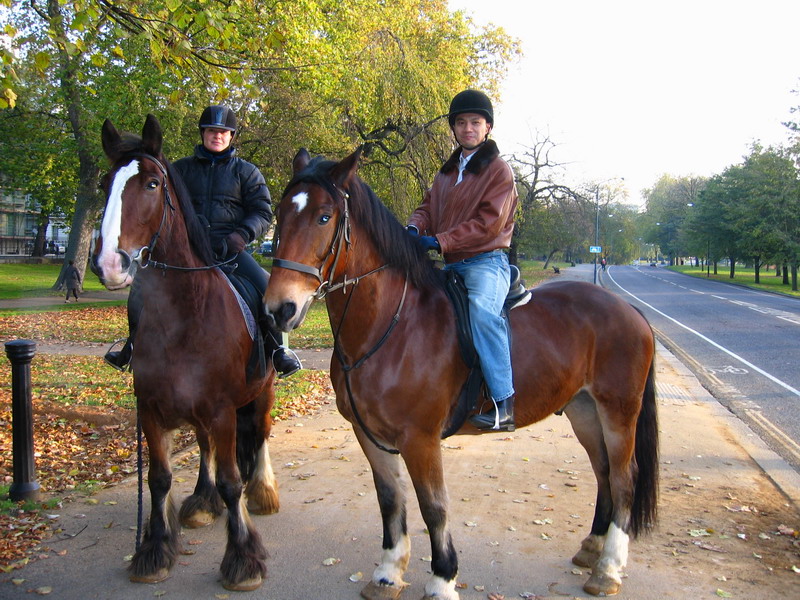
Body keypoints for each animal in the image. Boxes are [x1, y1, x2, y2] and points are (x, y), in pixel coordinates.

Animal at [89, 116, 278, 592]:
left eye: (153, 183)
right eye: (104, 183)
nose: (109, 263)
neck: (185, 314)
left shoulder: (223, 409)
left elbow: (232, 481)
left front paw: (243, 558)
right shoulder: (152, 409)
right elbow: (158, 479)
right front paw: (155, 550)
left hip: (260, 394)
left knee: (259, 435)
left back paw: (262, 492)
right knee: (206, 447)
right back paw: (201, 502)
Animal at [266, 148, 660, 596]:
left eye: (324, 217)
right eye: (280, 212)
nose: (279, 309)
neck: (393, 324)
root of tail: (629, 310)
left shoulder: (419, 439)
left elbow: (433, 507)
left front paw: (442, 578)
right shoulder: (370, 435)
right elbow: (390, 500)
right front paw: (388, 572)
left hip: (618, 411)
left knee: (625, 479)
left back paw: (608, 569)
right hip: (584, 411)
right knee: (604, 473)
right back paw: (592, 548)